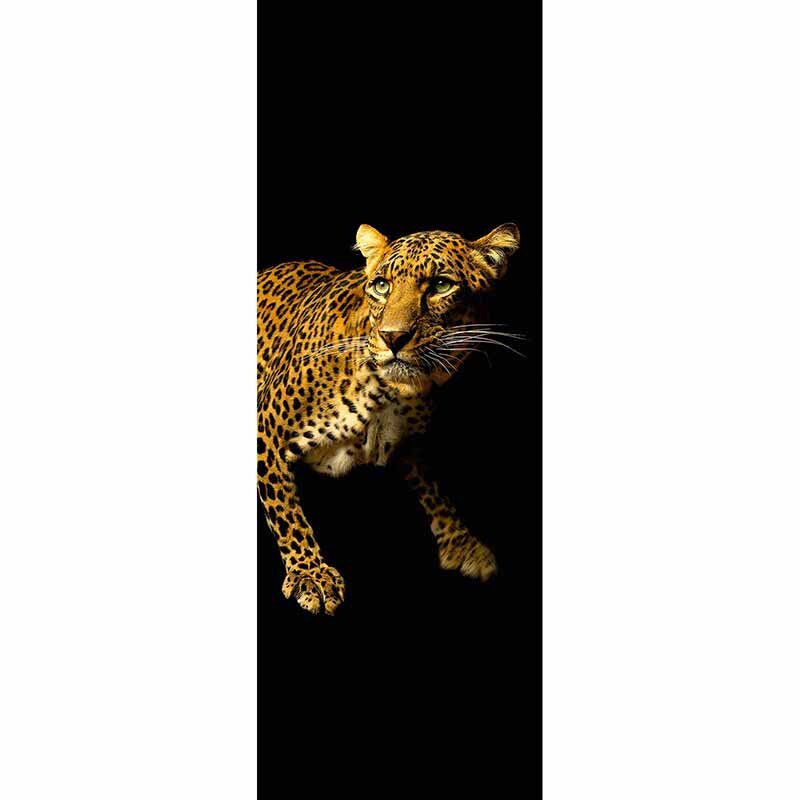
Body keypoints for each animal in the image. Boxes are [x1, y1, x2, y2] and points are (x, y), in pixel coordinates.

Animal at [258, 223, 521, 614]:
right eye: (381, 285)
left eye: (441, 285)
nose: (392, 337)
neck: (384, 391)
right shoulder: (267, 428)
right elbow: (285, 509)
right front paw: (310, 573)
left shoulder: (407, 442)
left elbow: (431, 485)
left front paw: (461, 543)